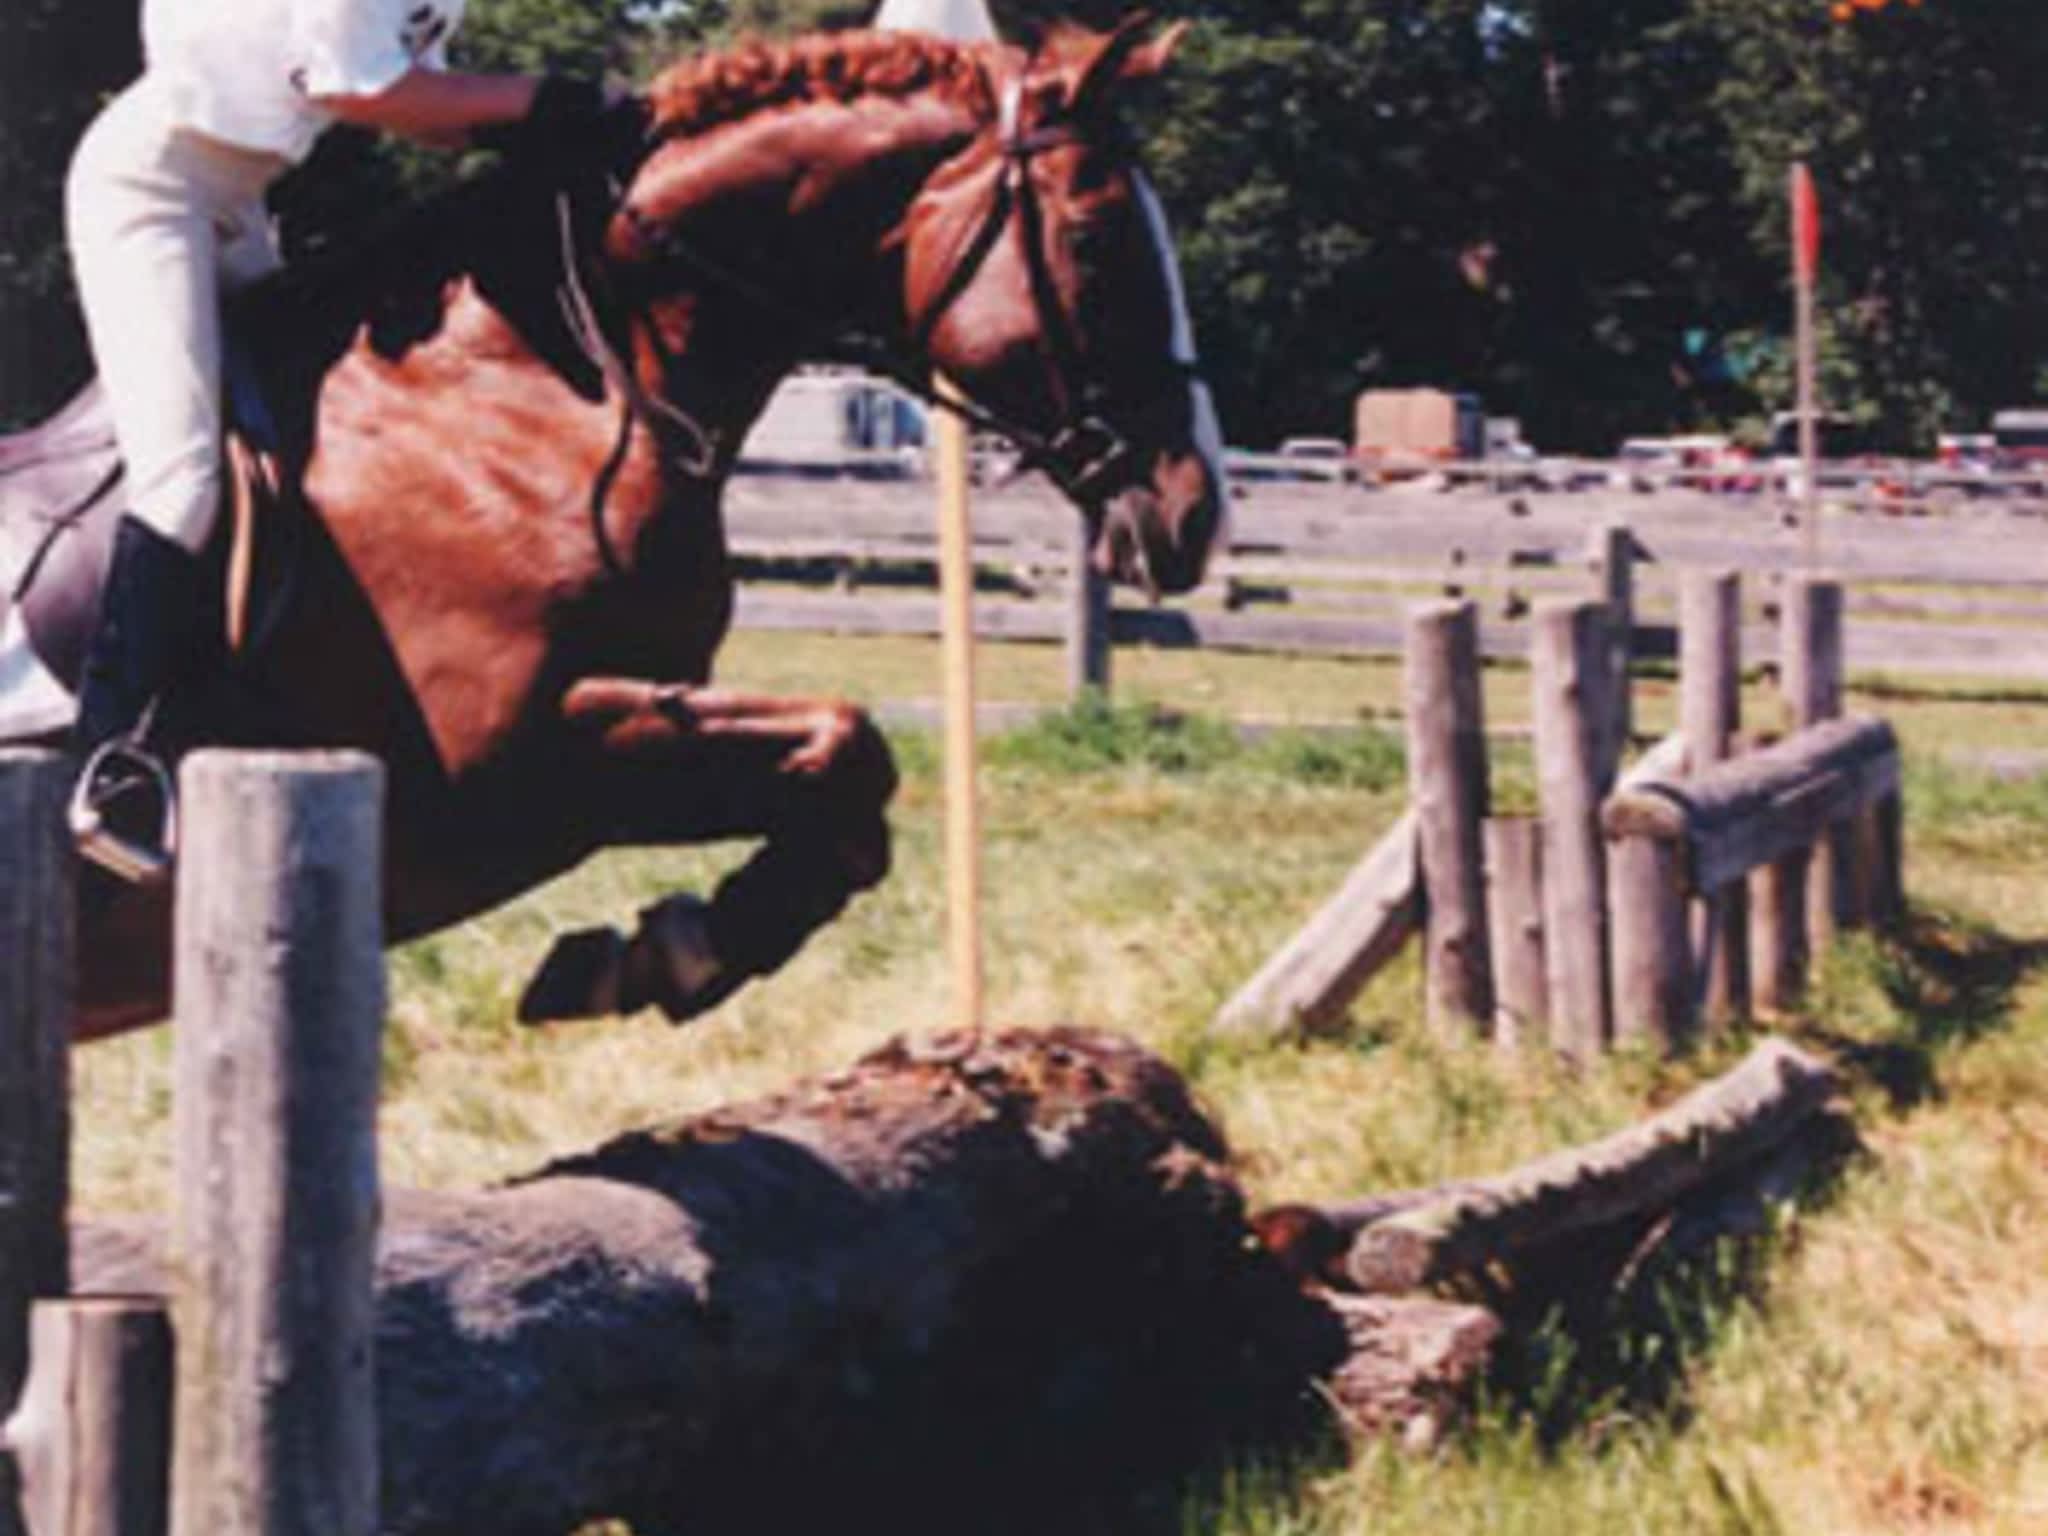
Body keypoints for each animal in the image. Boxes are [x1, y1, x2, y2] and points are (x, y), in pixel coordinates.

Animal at [48, 15, 1220, 1048]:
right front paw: (677, 950)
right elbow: (848, 741)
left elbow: (849, 773)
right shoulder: (503, 772)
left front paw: (673, 950)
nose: (1192, 510)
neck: (529, 393)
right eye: (1092, 238)